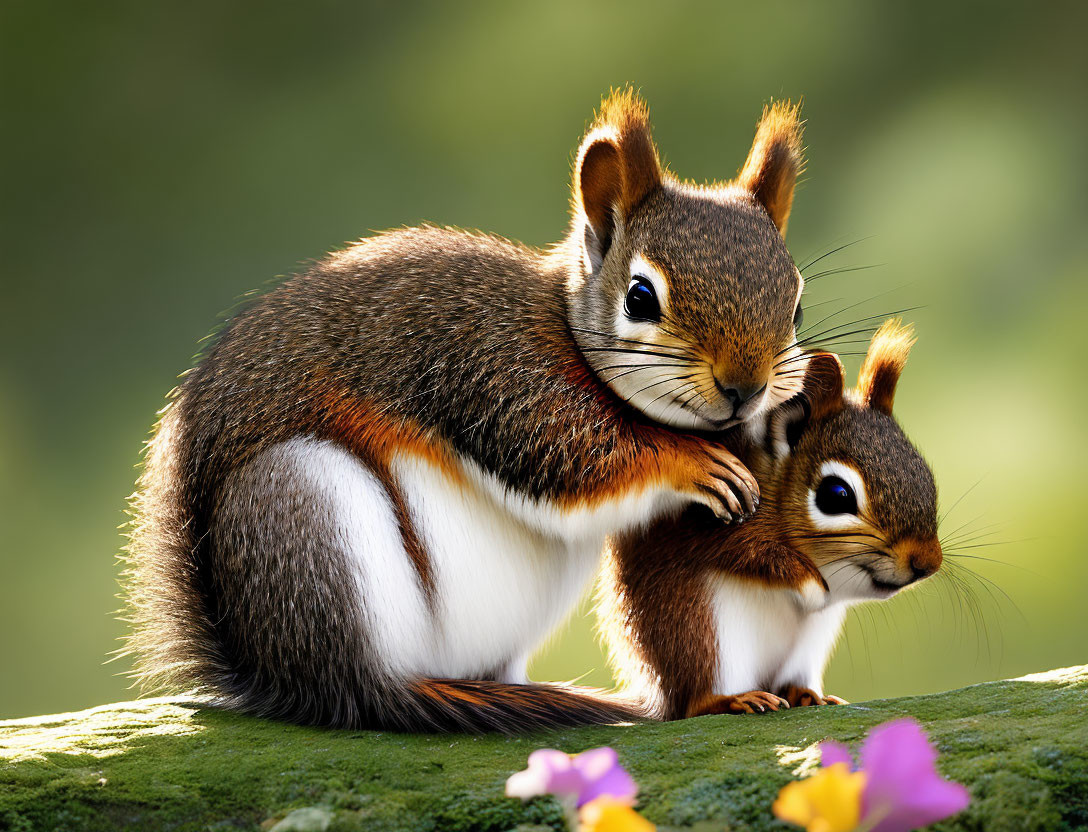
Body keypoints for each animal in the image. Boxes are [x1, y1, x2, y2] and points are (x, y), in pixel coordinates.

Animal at [123, 87, 813, 730]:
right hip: (302, 509)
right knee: (368, 692)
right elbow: (568, 454)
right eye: (640, 297)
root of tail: (270, 671)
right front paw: (695, 463)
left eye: (798, 305)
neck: (561, 324)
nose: (745, 387)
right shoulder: (491, 367)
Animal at [596, 317, 944, 722]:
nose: (927, 563)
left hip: (807, 648)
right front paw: (810, 584)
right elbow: (753, 554)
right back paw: (733, 699)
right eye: (836, 495)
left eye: (925, 474)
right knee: (696, 702)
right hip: (700, 632)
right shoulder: (711, 523)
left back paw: (806, 694)